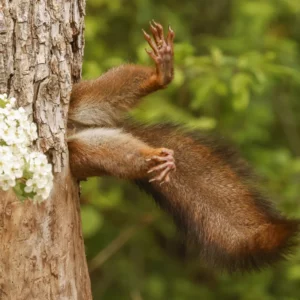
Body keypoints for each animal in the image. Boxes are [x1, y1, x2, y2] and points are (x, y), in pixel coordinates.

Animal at [67, 20, 298, 272]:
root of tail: (74, 128)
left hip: (79, 98)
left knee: (108, 90)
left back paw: (161, 74)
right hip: (81, 152)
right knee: (115, 154)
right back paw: (155, 158)